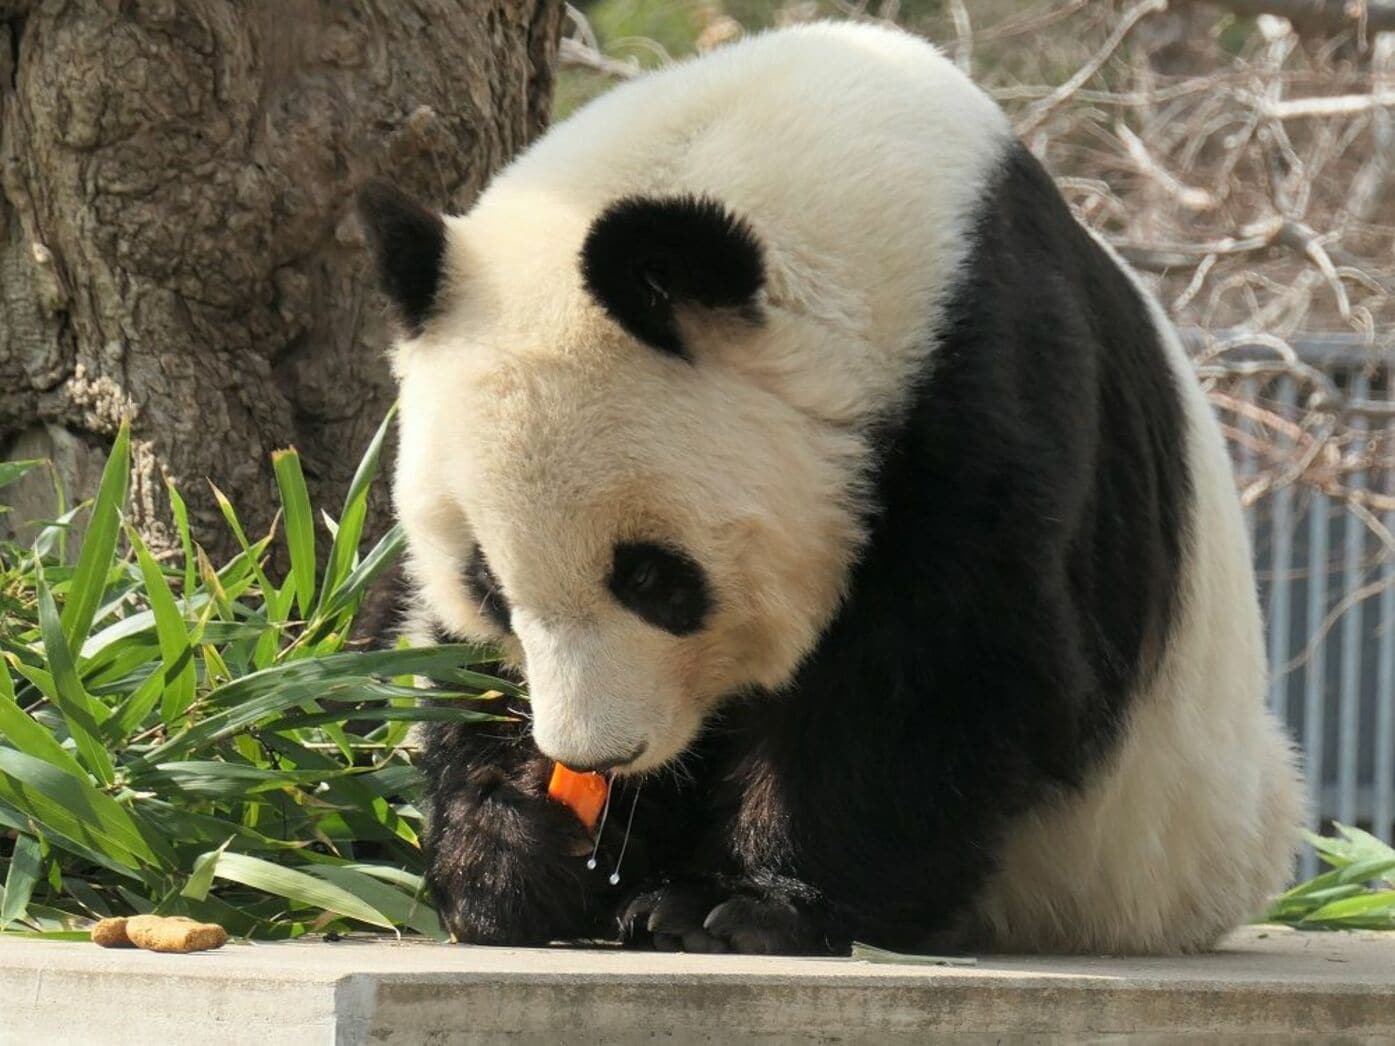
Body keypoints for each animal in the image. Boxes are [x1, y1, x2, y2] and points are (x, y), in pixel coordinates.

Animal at [354, 20, 1300, 953]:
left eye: (653, 578)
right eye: (487, 583)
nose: (595, 757)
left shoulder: (982, 387)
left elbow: (945, 667)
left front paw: (741, 906)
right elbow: (426, 648)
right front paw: (514, 856)